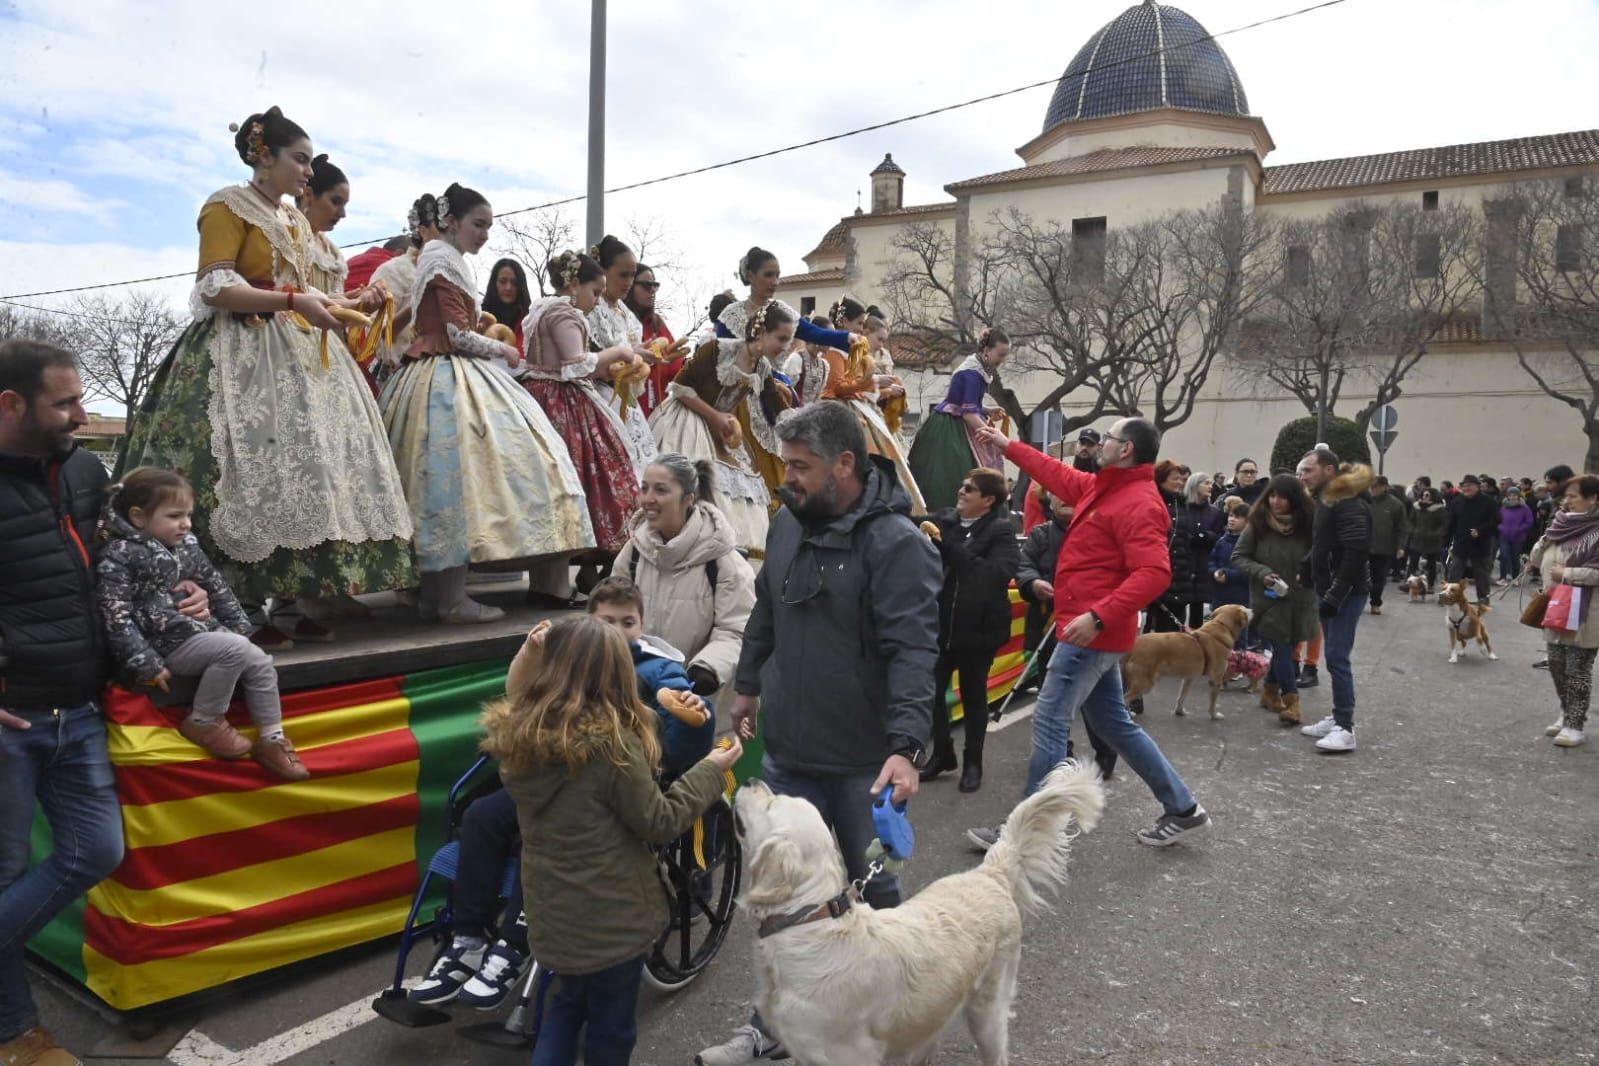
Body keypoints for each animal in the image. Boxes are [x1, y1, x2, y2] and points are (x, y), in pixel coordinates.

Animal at [1119, 604, 1253, 722]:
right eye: (1243, 608)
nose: (1252, 609)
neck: (1221, 626)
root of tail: (1134, 645)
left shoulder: (1188, 678)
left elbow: (1181, 697)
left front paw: (1179, 711)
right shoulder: (1215, 680)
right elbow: (1213, 703)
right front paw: (1214, 715)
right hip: (1145, 683)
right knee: (1124, 699)